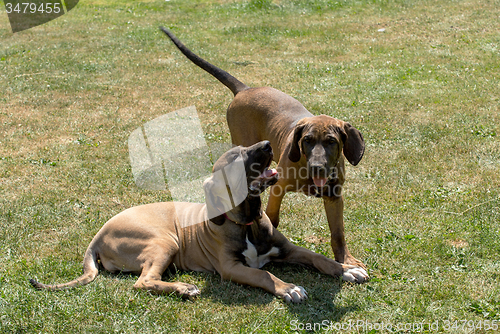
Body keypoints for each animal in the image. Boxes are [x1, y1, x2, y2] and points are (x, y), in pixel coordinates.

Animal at [30, 141, 368, 302]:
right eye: (236, 158)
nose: (268, 145)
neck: (248, 223)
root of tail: (98, 236)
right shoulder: (232, 268)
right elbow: (264, 275)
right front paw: (288, 288)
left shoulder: (287, 248)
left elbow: (319, 258)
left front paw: (346, 269)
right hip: (164, 241)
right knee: (143, 282)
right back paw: (183, 288)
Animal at [161, 28, 368, 268]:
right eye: (306, 140)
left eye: (332, 142)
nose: (317, 167)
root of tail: (245, 89)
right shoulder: (278, 189)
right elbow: (273, 217)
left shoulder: (335, 197)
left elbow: (338, 233)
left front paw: (346, 259)